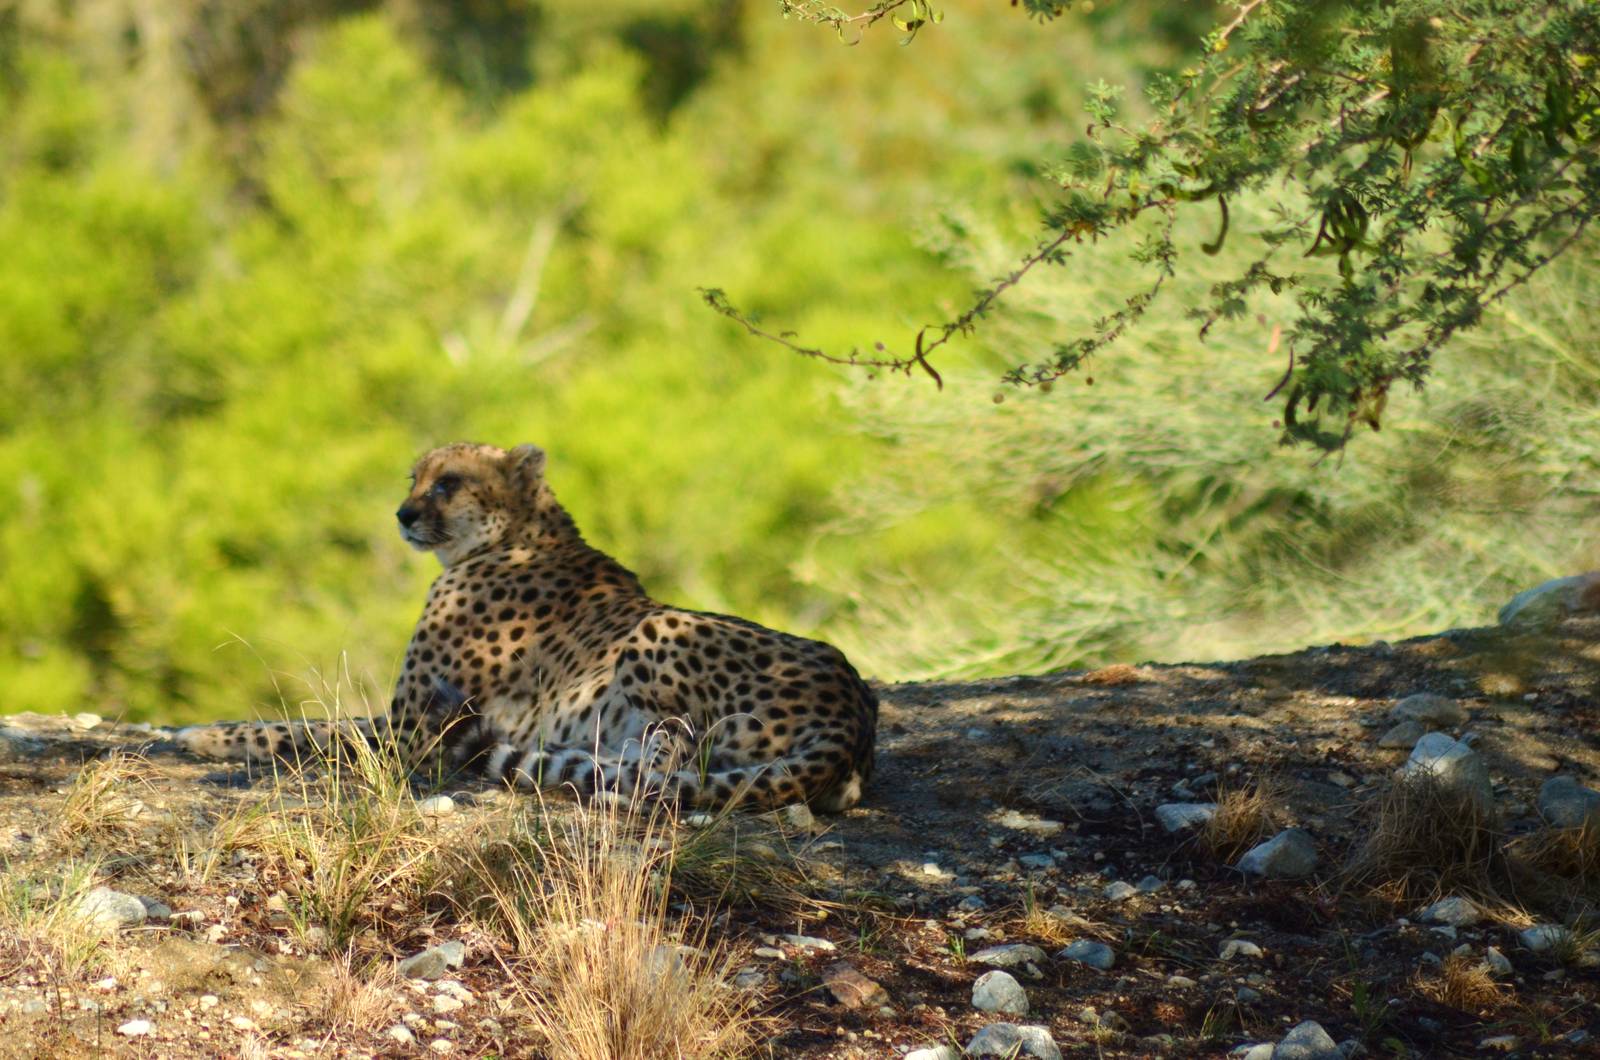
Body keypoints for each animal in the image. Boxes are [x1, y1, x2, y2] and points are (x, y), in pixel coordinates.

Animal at [177, 442, 877, 811]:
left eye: (447, 483)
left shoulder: (414, 728)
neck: (513, 536)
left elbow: (306, 728)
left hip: (658, 630)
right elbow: (308, 725)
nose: (403, 514)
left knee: (667, 771)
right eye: (414, 478)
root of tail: (853, 716)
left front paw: (206, 736)